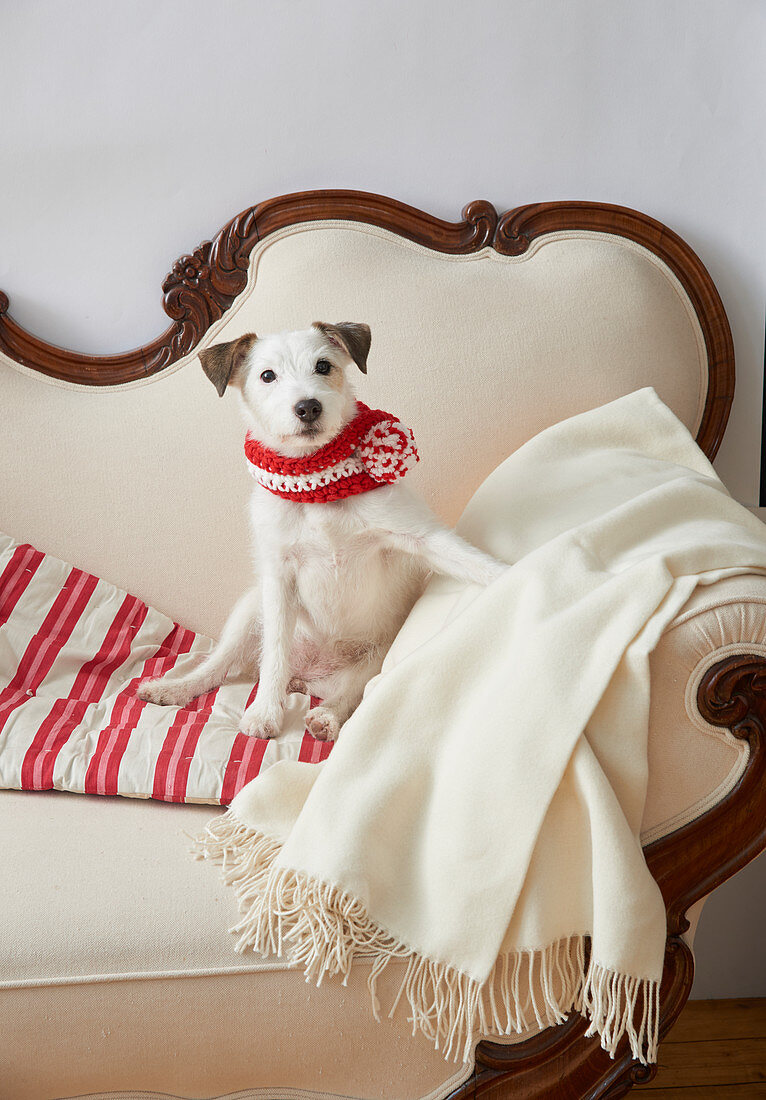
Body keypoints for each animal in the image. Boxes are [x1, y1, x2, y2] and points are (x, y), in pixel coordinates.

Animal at [137, 321, 506, 743]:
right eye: (267, 375)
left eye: (324, 365)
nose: (308, 406)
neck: (317, 488)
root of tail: (309, 675)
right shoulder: (278, 578)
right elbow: (273, 656)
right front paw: (265, 712)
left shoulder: (418, 535)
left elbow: (474, 563)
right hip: (249, 610)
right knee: (221, 666)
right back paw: (174, 688)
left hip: (377, 657)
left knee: (350, 694)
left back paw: (326, 716)